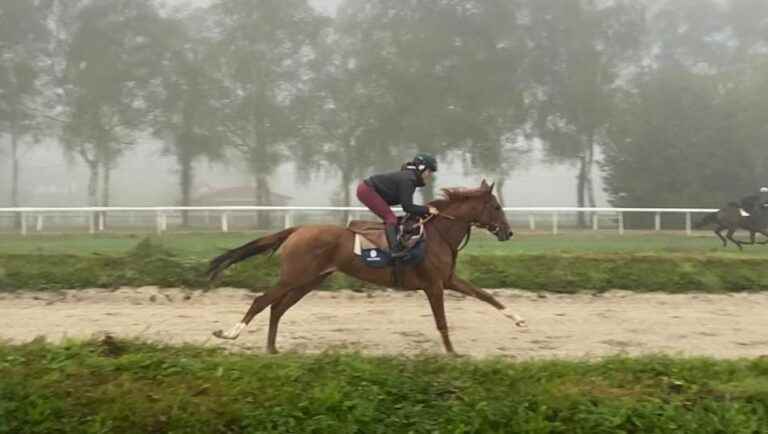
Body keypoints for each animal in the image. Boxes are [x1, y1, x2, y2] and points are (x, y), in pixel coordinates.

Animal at [207, 180, 524, 352]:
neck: (438, 235)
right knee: (261, 301)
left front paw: (518, 319)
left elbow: (485, 295)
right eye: (496, 206)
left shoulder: (448, 280)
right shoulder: (434, 285)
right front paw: (452, 353)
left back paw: (272, 348)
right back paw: (230, 333)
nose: (509, 232)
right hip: (293, 277)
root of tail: (297, 229)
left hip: (310, 280)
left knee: (277, 307)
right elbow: (442, 321)